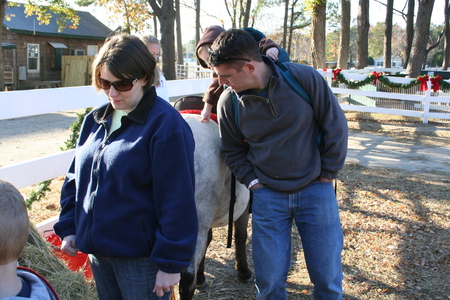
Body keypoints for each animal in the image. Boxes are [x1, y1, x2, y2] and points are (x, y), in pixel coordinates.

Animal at [177, 113, 253, 300]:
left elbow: (209, 240)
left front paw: (201, 276)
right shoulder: (243, 209)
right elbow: (241, 236)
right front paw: (244, 272)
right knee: (187, 277)